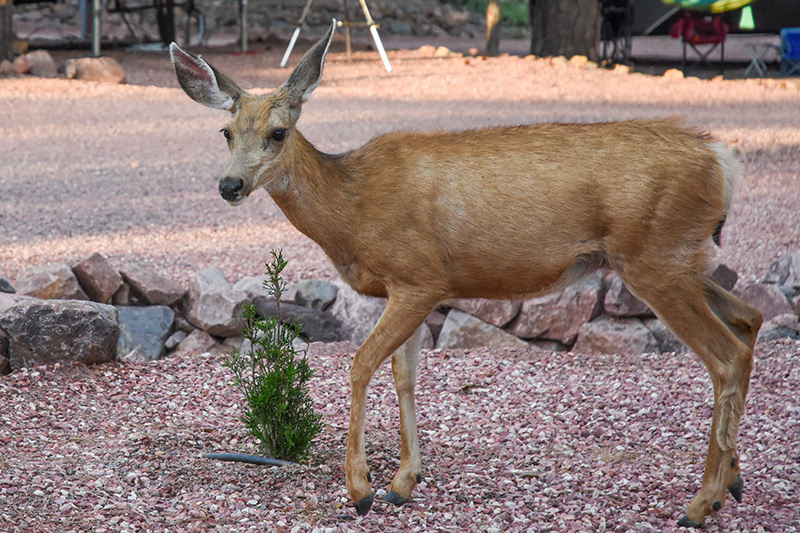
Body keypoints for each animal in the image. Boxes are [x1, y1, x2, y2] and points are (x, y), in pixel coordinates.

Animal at [170, 21, 764, 528]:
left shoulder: (419, 276)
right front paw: (402, 483)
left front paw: (361, 490)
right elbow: (403, 374)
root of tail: (723, 159)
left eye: (277, 132)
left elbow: (361, 365)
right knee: (750, 317)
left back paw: (700, 504)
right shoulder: (413, 288)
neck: (352, 210)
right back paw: (732, 483)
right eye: (225, 131)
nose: (229, 185)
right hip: (670, 257)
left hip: (653, 256)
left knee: (726, 354)